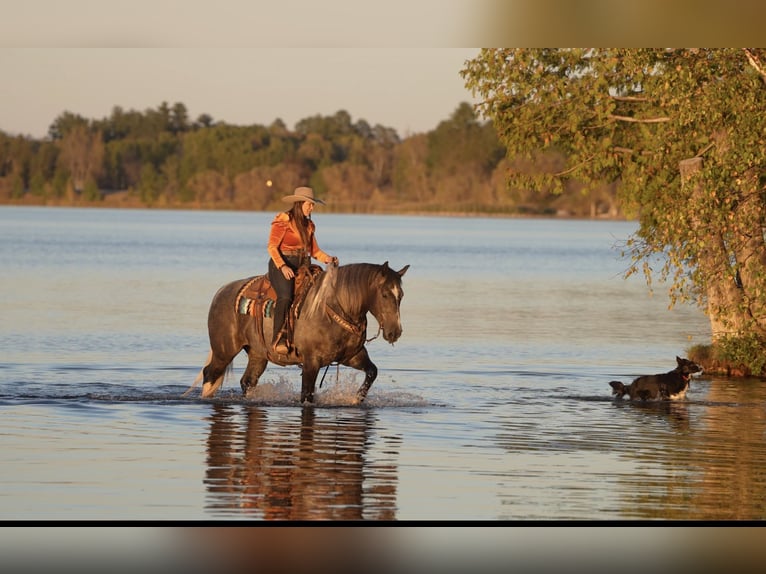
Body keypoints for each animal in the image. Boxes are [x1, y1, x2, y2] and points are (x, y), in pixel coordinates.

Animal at [190, 261, 409, 404]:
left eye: (401, 295)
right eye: (385, 294)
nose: (395, 332)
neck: (332, 308)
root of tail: (222, 291)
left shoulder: (352, 356)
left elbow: (372, 371)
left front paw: (356, 399)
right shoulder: (311, 362)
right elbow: (306, 395)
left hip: (257, 354)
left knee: (247, 381)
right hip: (224, 350)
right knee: (210, 373)